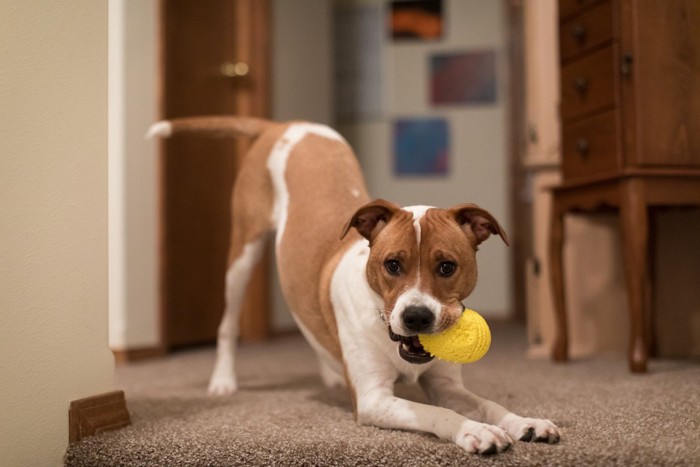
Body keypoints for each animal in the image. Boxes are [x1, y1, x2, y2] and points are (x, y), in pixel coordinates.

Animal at [150, 115, 560, 456]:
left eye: (447, 266)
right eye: (392, 264)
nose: (416, 317)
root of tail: (282, 124)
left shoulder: (447, 385)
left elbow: (488, 404)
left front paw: (524, 422)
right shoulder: (373, 399)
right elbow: (436, 413)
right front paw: (475, 430)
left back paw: (330, 373)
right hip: (242, 254)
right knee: (228, 324)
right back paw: (223, 380)